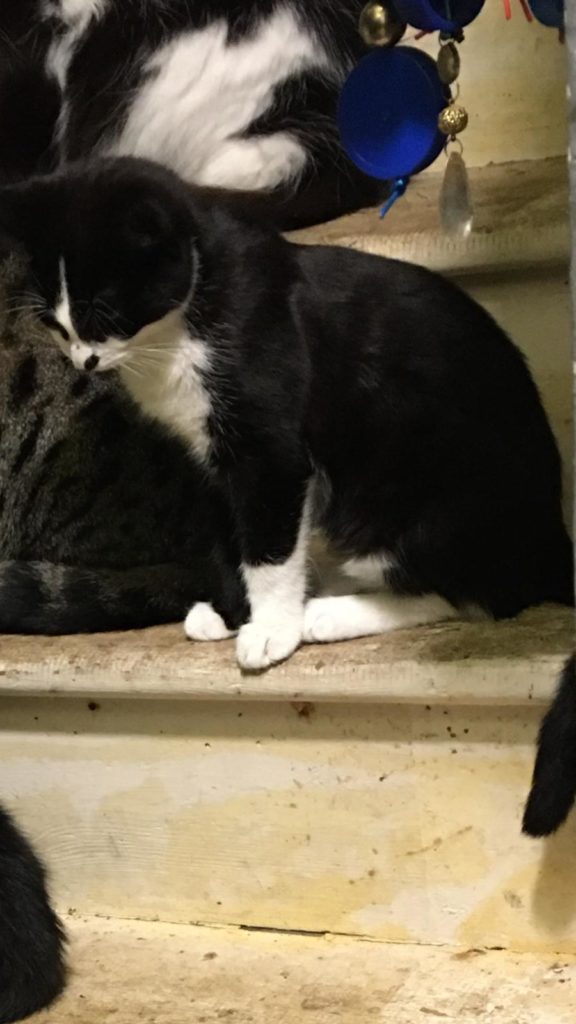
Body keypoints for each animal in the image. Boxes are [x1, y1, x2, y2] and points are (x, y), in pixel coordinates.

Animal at [0, 156, 571, 668]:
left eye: (105, 312)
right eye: (54, 323)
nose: (85, 361)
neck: (180, 331)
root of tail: (551, 538)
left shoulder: (268, 449)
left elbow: (269, 545)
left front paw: (273, 627)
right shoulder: (207, 459)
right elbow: (229, 538)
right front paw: (232, 613)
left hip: (417, 500)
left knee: (482, 595)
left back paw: (330, 613)